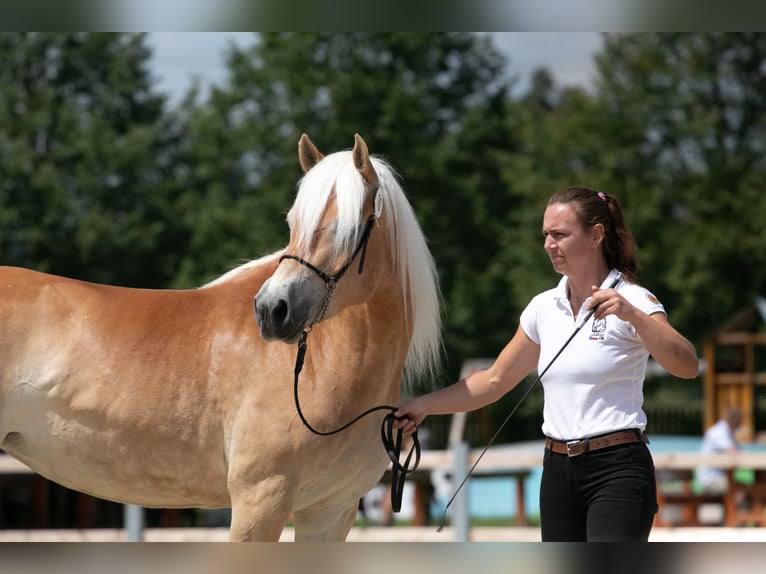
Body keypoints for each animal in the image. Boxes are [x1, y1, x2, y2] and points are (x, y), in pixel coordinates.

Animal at [0, 133, 444, 544]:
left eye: (349, 228)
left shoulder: (330, 513)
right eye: (292, 222)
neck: (324, 365)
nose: (272, 311)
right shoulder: (260, 501)